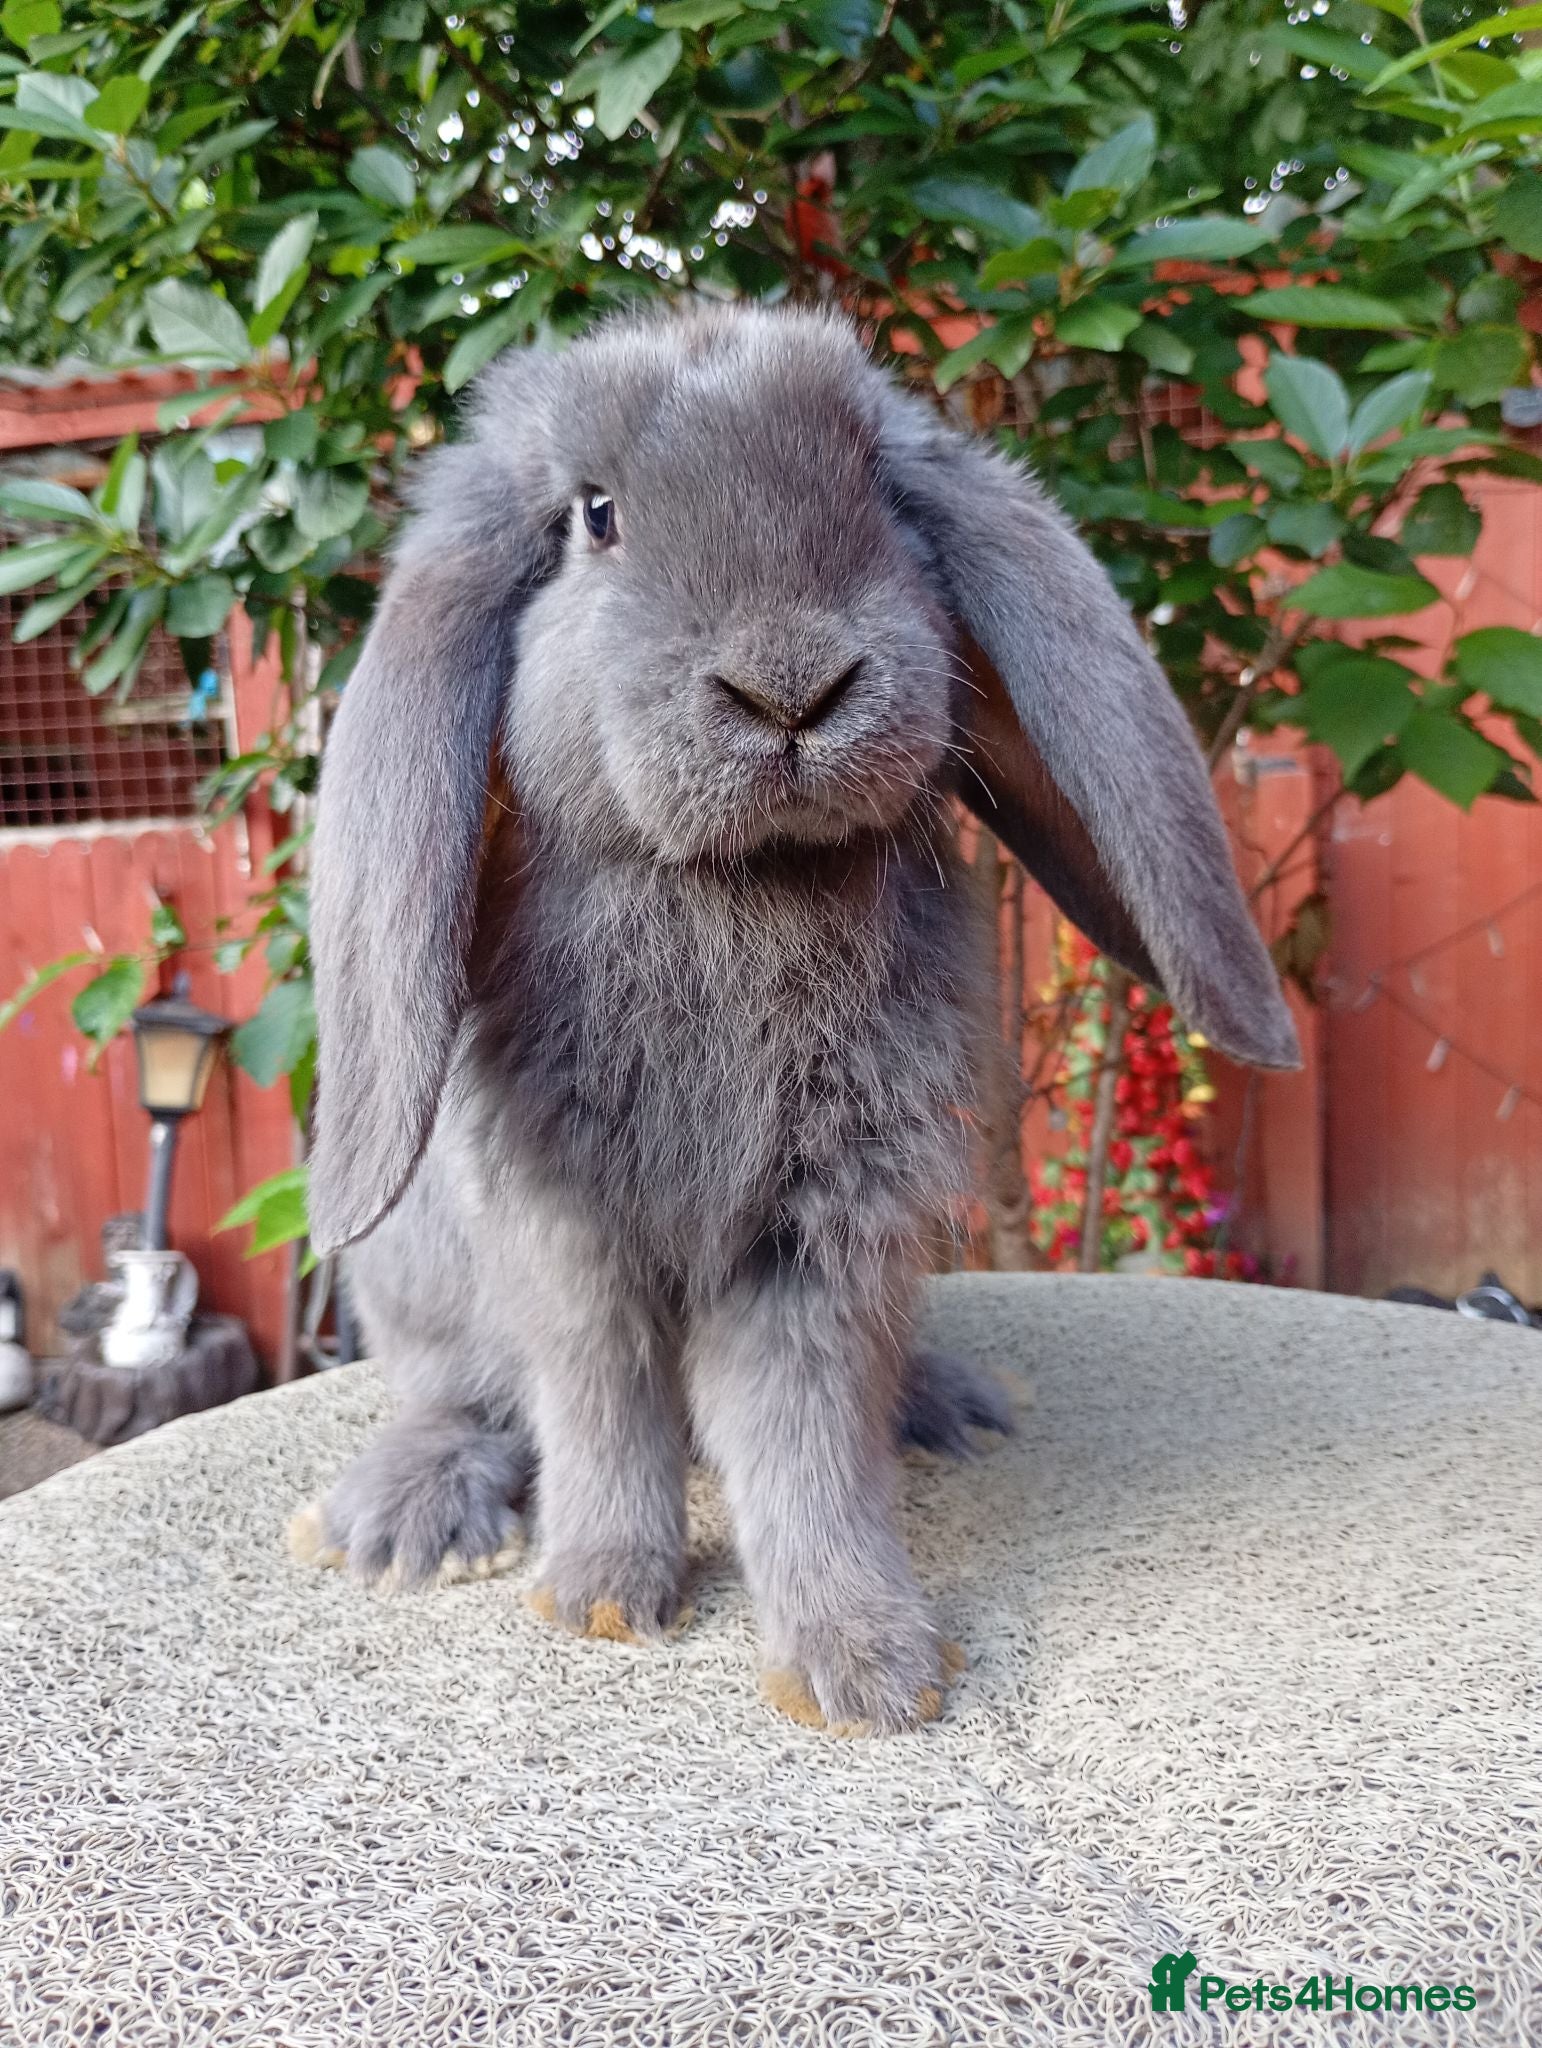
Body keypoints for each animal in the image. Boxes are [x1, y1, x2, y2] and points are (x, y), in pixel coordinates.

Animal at [295, 304, 1298, 1734]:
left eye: (877, 486)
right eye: (594, 515)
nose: (792, 687)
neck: (743, 885)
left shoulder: (827, 1225)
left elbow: (802, 1432)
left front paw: (868, 1666)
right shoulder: (563, 1224)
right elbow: (601, 1397)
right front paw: (602, 1591)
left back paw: (945, 1406)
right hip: (416, 1274)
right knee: (456, 1395)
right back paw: (407, 1524)